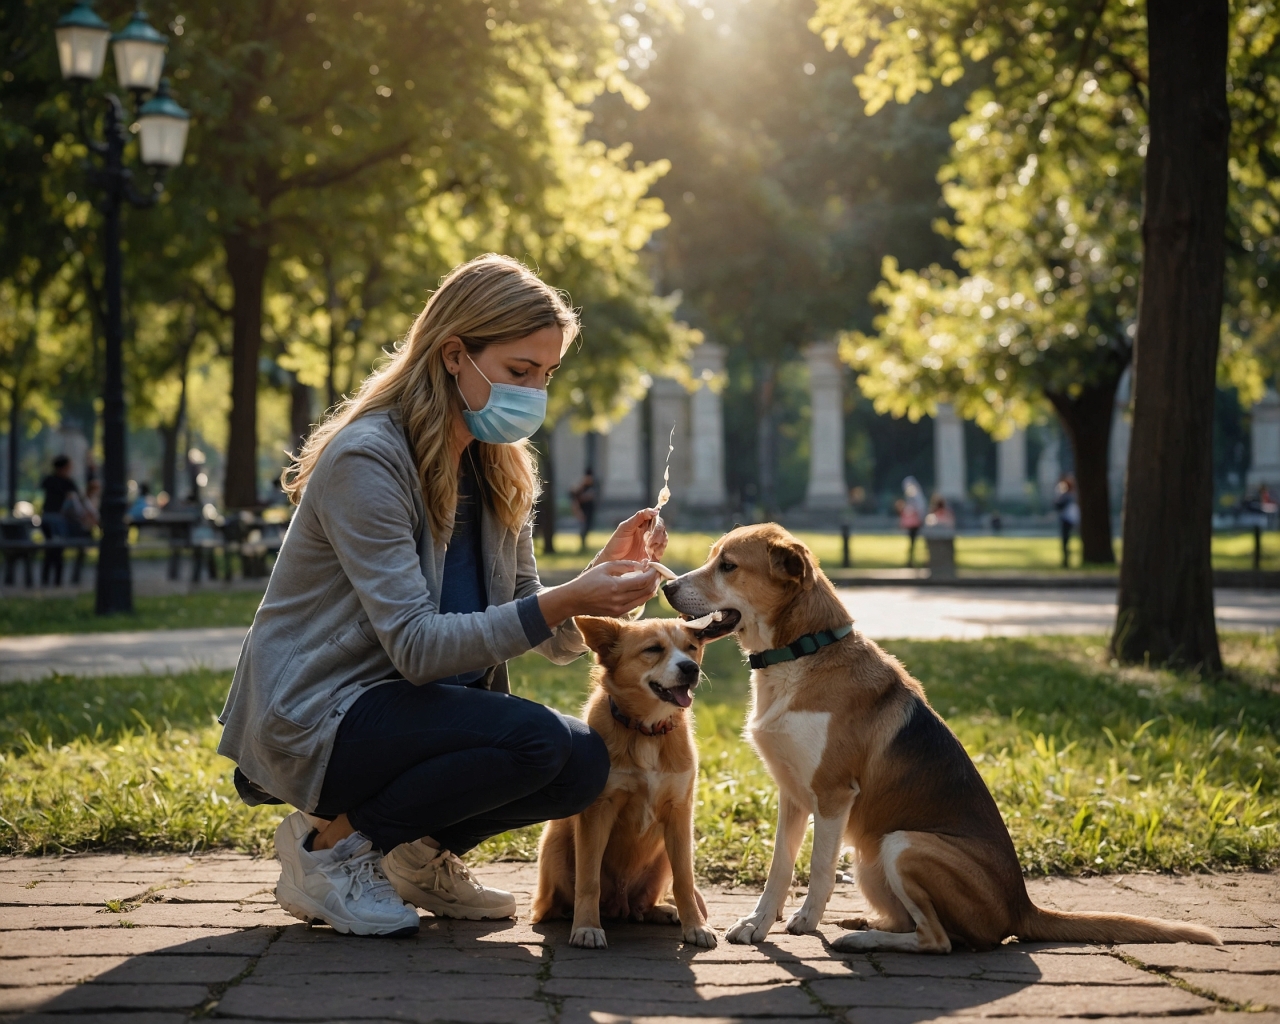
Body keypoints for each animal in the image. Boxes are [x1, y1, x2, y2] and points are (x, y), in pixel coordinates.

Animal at [529, 611, 732, 947]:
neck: (646, 731)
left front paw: (696, 926)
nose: (691, 668)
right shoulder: (598, 811)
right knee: (555, 904)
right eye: (653, 649)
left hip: (663, 855)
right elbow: (589, 880)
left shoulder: (679, 814)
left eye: (691, 647)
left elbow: (685, 881)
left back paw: (664, 911)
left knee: (645, 905)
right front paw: (587, 927)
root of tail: (620, 906)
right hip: (554, 841)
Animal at [660, 524, 1218, 957]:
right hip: (872, 862)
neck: (802, 653)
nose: (668, 588)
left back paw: (861, 940)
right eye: (713, 558)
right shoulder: (793, 796)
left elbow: (817, 870)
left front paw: (804, 922)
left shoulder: (834, 796)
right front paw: (758, 925)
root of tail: (1022, 906)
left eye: (728, 566)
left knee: (940, 940)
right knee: (921, 926)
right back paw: (866, 924)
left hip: (902, 844)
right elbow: (778, 870)